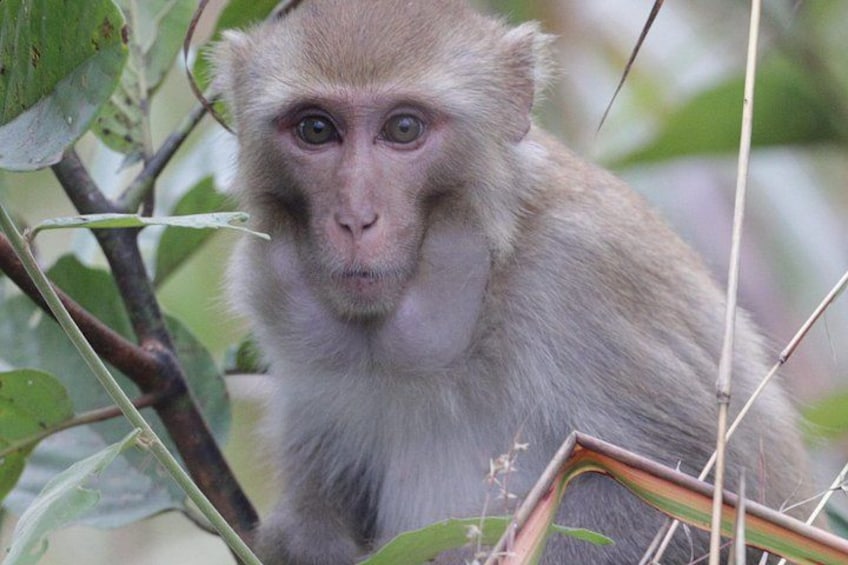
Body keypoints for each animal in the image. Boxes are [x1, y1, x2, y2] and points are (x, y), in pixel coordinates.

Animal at [213, 1, 812, 563]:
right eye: (316, 129)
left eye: (403, 128)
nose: (356, 219)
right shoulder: (278, 304)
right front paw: (305, 540)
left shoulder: (577, 274)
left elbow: (705, 510)